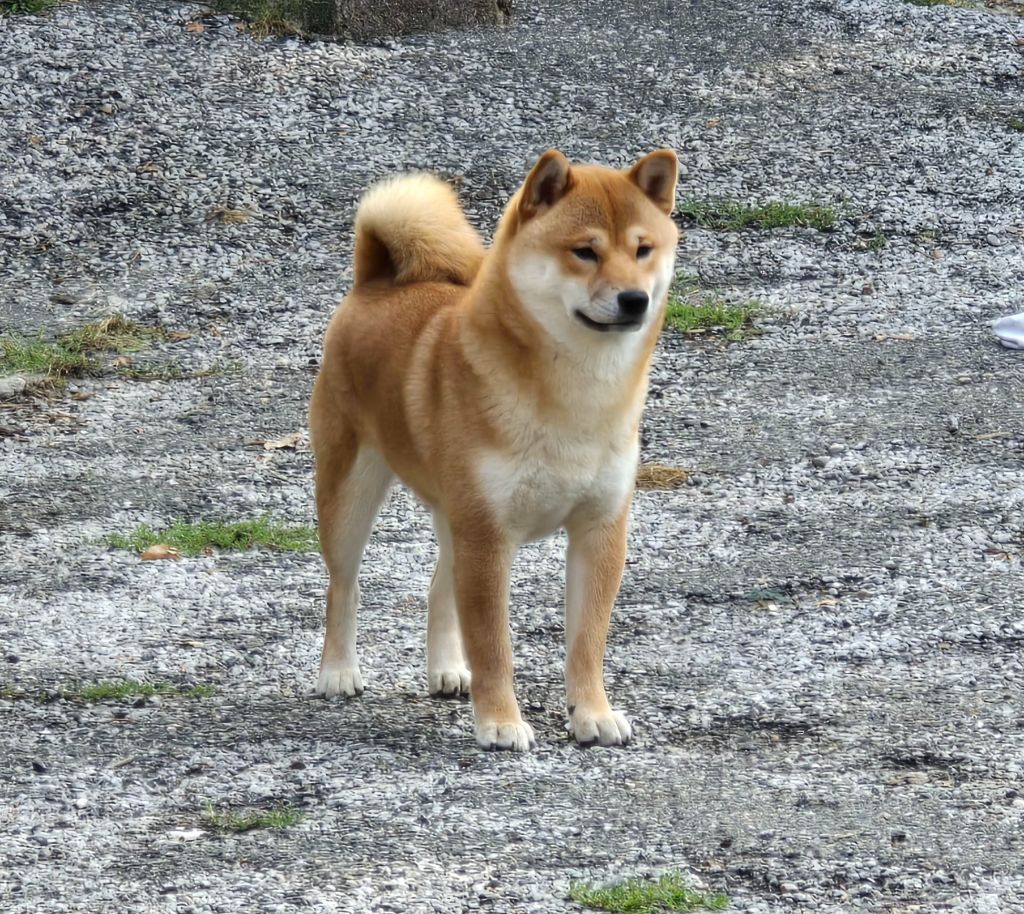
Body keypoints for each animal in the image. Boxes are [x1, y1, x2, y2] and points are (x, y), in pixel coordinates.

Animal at [311, 149, 679, 749]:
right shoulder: (488, 537)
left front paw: (592, 713)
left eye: (643, 249)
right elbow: (493, 646)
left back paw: (446, 669)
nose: (635, 299)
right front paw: (501, 722)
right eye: (585, 251)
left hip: (454, 516)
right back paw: (338, 671)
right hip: (350, 497)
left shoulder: (598, 529)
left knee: (438, 587)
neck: (576, 397)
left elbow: (587, 641)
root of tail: (375, 283)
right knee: (344, 587)